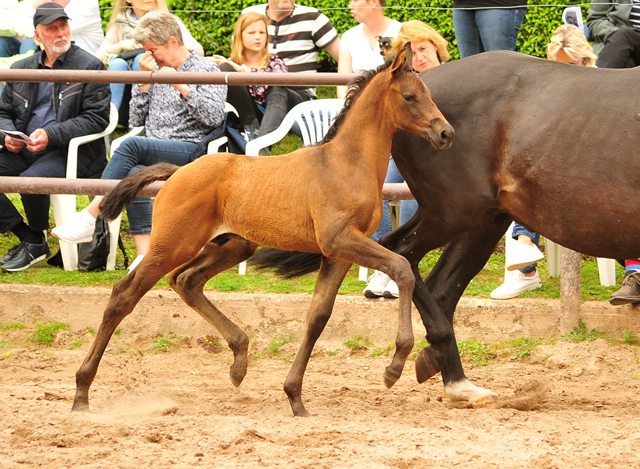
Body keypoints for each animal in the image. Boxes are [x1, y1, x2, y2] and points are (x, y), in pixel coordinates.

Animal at [72, 47, 456, 414]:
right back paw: (81, 390)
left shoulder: (337, 253)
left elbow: (318, 316)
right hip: (172, 244)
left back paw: (239, 361)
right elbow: (402, 269)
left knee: (186, 281)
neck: (345, 163)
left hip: (232, 246)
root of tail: (177, 172)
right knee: (124, 295)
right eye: (410, 96)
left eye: (426, 93)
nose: (446, 133)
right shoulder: (340, 240)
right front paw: (394, 367)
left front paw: (295, 396)